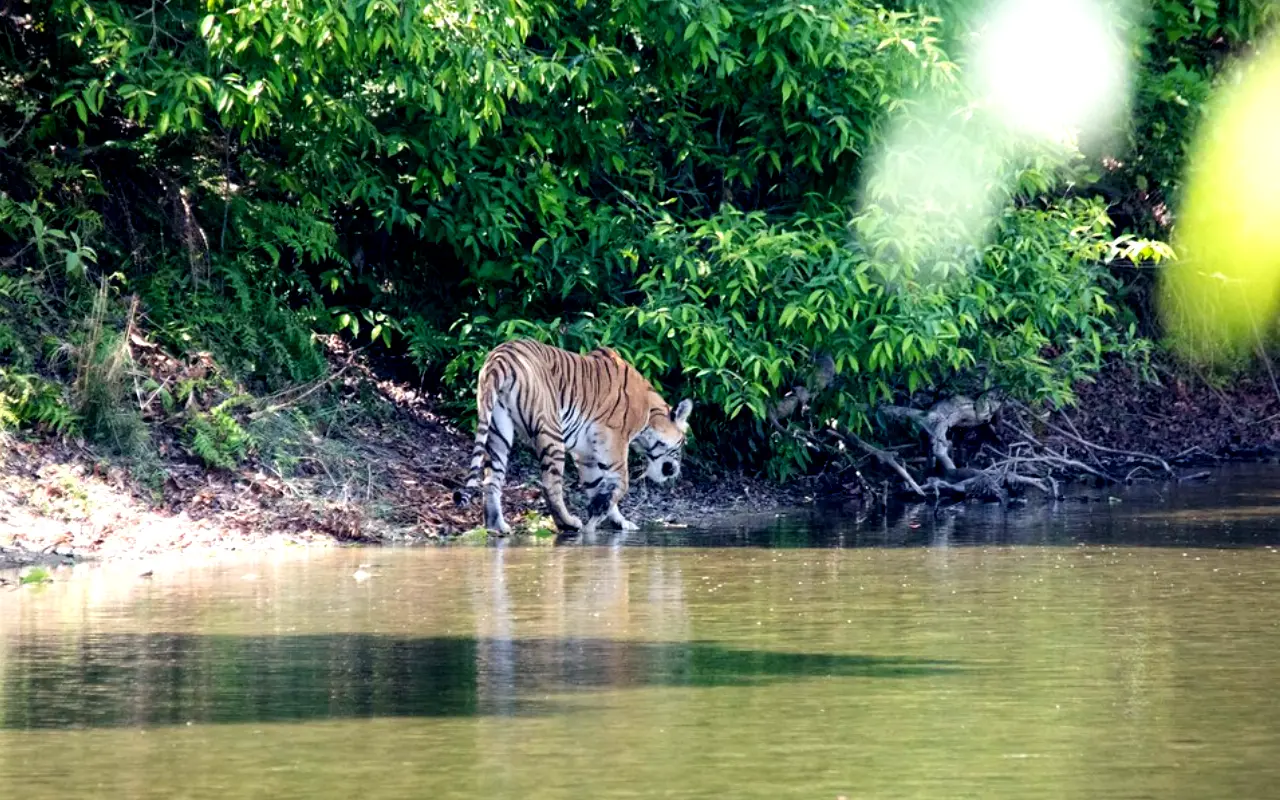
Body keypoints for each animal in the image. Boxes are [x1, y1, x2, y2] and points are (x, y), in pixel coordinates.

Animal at [455, 338, 693, 535]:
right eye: (682, 443)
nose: (675, 470)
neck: (649, 414)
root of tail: (499, 357)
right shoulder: (614, 439)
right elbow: (621, 482)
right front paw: (597, 516)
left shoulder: (586, 452)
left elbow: (597, 485)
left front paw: (615, 520)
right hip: (551, 430)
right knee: (550, 484)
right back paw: (568, 523)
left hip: (498, 430)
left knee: (491, 479)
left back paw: (497, 526)